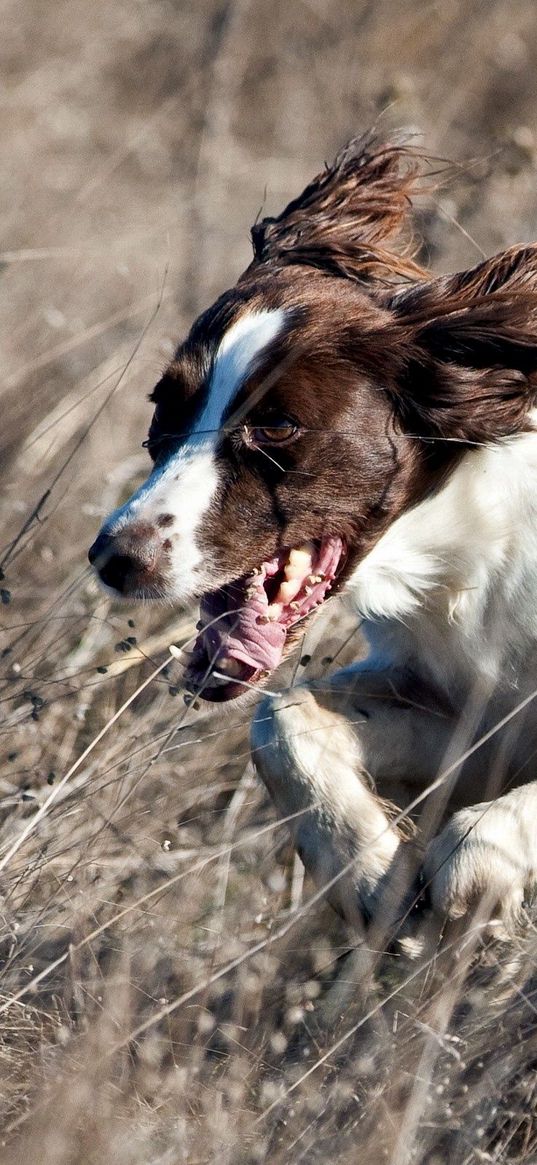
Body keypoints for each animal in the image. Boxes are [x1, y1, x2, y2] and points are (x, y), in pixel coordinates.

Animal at [90, 133, 535, 936]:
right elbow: (280, 715)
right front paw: (370, 874)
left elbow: (478, 843)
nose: (114, 558)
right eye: (165, 404)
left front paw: (470, 883)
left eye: (277, 424)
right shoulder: (466, 713)